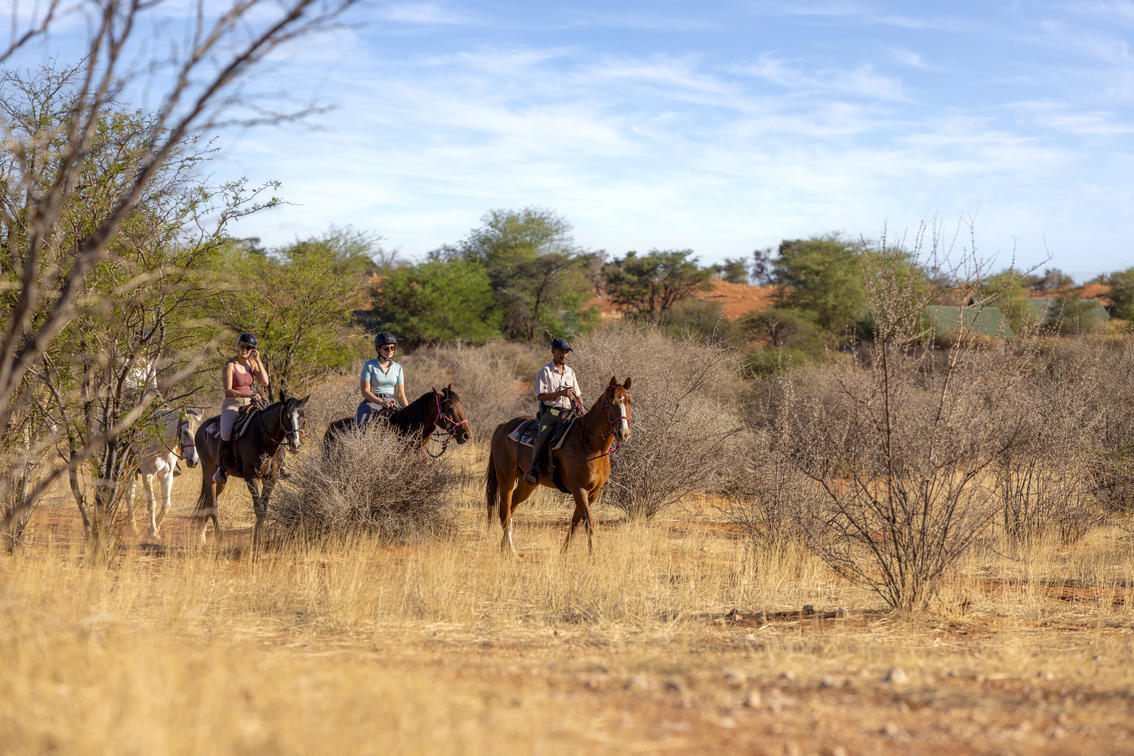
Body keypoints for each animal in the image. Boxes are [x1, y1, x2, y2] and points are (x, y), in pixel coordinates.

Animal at [126, 409, 201, 539]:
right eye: (185, 432)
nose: (194, 461)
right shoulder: (147, 474)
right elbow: (152, 504)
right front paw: (153, 532)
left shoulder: (167, 475)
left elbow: (166, 505)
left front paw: (154, 528)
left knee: (129, 495)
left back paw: (133, 528)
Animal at [194, 390, 309, 546]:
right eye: (287, 416)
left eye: (302, 415)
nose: (296, 445)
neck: (264, 438)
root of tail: (201, 429)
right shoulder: (251, 476)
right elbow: (258, 508)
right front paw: (256, 539)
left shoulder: (271, 478)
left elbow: (264, 508)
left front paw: (259, 537)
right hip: (208, 470)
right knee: (212, 503)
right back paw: (218, 537)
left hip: (221, 479)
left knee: (209, 501)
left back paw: (201, 535)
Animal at [485, 377, 632, 555]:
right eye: (611, 402)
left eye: (629, 401)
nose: (623, 433)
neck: (589, 444)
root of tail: (503, 426)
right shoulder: (578, 489)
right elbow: (588, 523)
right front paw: (592, 555)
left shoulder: (593, 492)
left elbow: (576, 522)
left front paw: (564, 552)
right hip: (505, 477)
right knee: (504, 512)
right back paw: (512, 551)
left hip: (527, 484)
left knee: (511, 508)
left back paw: (504, 547)